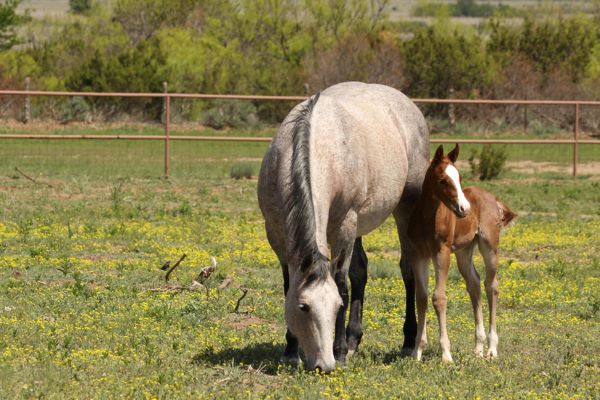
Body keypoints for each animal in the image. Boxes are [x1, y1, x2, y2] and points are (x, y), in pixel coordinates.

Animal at [258, 81, 432, 372]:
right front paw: (291, 350)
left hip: (404, 210)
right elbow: (289, 284)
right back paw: (353, 340)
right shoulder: (276, 234)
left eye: (337, 306)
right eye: (304, 307)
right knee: (360, 272)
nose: (324, 365)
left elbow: (341, 282)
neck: (319, 147)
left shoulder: (344, 225)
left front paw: (338, 351)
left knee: (408, 270)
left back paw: (409, 342)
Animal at [408, 145, 516, 362]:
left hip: (489, 246)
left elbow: (439, 298)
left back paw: (492, 348)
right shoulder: (418, 255)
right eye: (443, 180)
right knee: (474, 284)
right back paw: (478, 348)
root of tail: (493, 199)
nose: (464, 209)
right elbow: (421, 298)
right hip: (464, 251)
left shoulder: (442, 252)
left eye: (459, 177)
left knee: (491, 285)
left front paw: (446, 354)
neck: (427, 218)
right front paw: (417, 351)